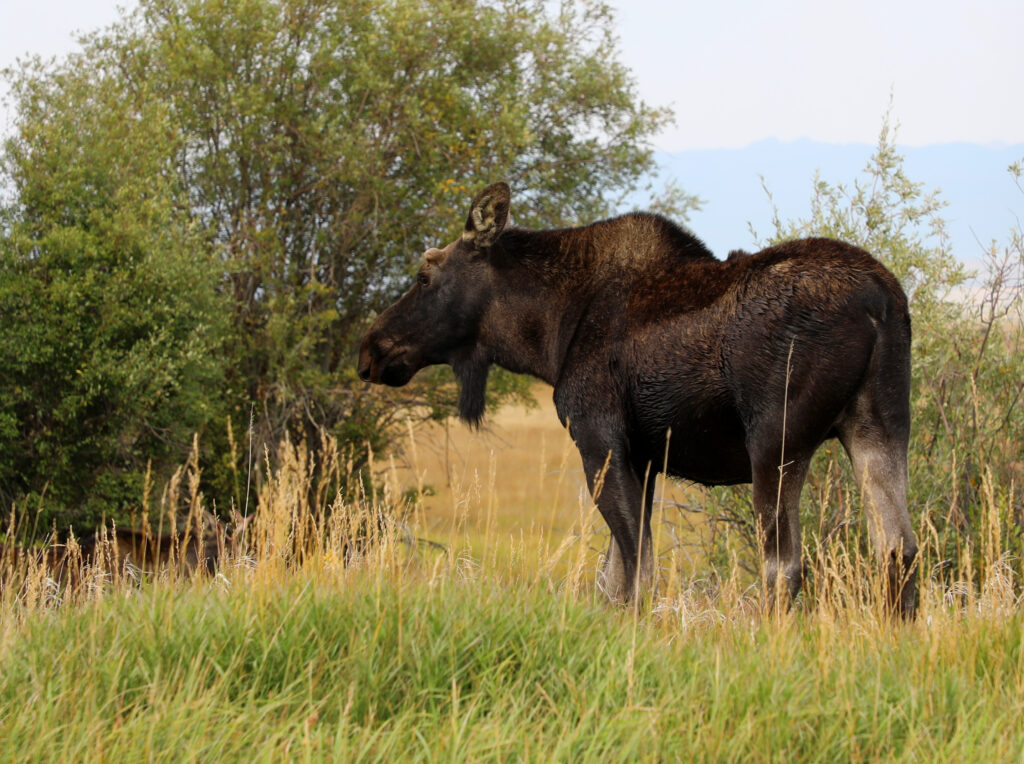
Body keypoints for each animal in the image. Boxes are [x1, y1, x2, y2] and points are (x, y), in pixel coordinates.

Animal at [360, 181, 921, 614]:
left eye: (424, 276)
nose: (371, 348)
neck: (548, 334)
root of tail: (881, 302)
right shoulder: (645, 459)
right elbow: (614, 579)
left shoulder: (600, 441)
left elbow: (635, 575)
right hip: (880, 426)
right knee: (899, 549)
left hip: (775, 439)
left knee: (782, 565)